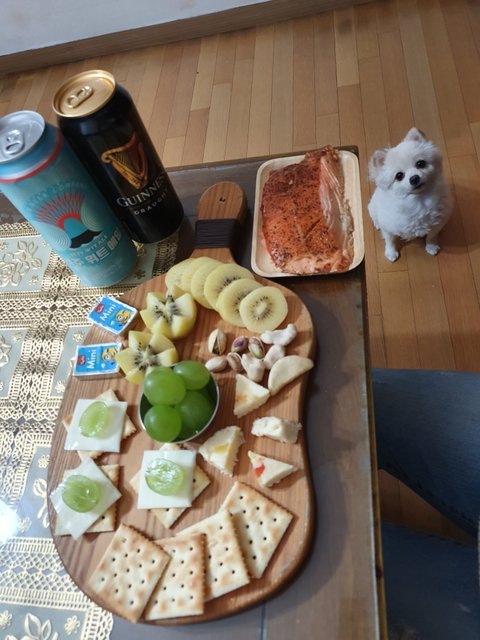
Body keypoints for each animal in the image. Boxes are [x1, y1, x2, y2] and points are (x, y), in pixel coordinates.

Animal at [367, 127, 452, 262]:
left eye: (420, 163)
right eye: (399, 176)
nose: (414, 178)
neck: (419, 201)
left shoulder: (438, 222)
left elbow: (432, 236)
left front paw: (431, 246)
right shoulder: (388, 227)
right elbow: (390, 240)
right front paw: (391, 252)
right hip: (372, 207)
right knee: (374, 217)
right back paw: (377, 224)